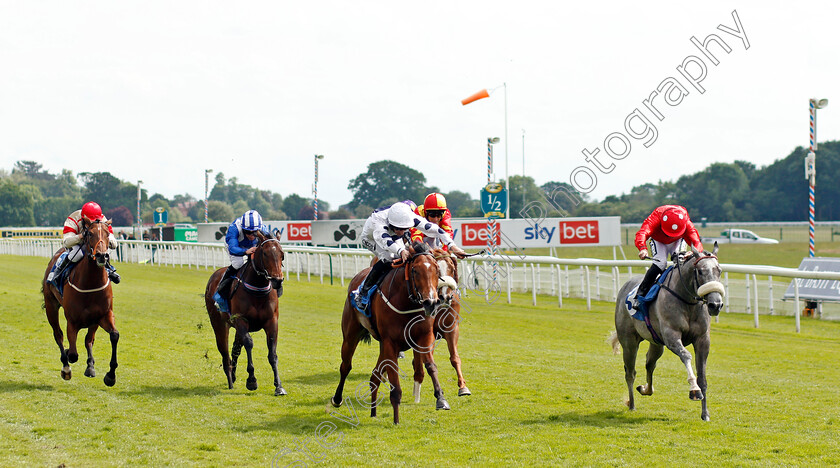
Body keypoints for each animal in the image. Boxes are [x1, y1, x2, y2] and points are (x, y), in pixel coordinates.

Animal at [42, 218, 120, 386]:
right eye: (89, 233)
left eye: (107, 233)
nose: (102, 256)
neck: (90, 283)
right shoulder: (72, 321)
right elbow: (72, 353)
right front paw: (67, 357)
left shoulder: (103, 315)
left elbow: (114, 335)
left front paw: (110, 375)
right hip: (51, 306)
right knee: (58, 335)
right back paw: (66, 367)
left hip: (93, 321)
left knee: (89, 340)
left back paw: (90, 366)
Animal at [203, 230, 286, 394]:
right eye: (265, 253)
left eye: (282, 254)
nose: (277, 280)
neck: (258, 289)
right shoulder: (241, 320)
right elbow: (249, 343)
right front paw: (252, 380)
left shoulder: (272, 321)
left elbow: (272, 353)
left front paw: (279, 386)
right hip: (220, 324)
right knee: (225, 352)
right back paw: (230, 379)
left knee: (235, 350)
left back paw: (234, 376)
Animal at [332, 241, 452, 424]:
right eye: (415, 270)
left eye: (437, 270)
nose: (431, 302)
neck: (406, 302)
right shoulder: (390, 342)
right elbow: (394, 382)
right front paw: (396, 419)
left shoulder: (424, 336)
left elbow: (430, 366)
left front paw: (441, 399)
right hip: (351, 335)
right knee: (346, 366)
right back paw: (337, 399)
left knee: (374, 376)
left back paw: (373, 412)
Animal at [410, 247, 470, 404]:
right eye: (437, 270)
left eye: (451, 268)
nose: (444, 297)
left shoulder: (451, 328)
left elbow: (455, 357)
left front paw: (463, 387)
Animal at [612, 243, 720, 422]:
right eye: (700, 271)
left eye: (719, 271)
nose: (716, 304)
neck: (687, 301)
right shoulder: (672, 337)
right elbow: (686, 356)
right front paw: (694, 390)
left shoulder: (703, 340)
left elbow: (702, 377)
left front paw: (705, 413)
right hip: (629, 342)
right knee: (630, 372)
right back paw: (632, 404)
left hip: (656, 344)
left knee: (650, 364)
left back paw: (645, 389)